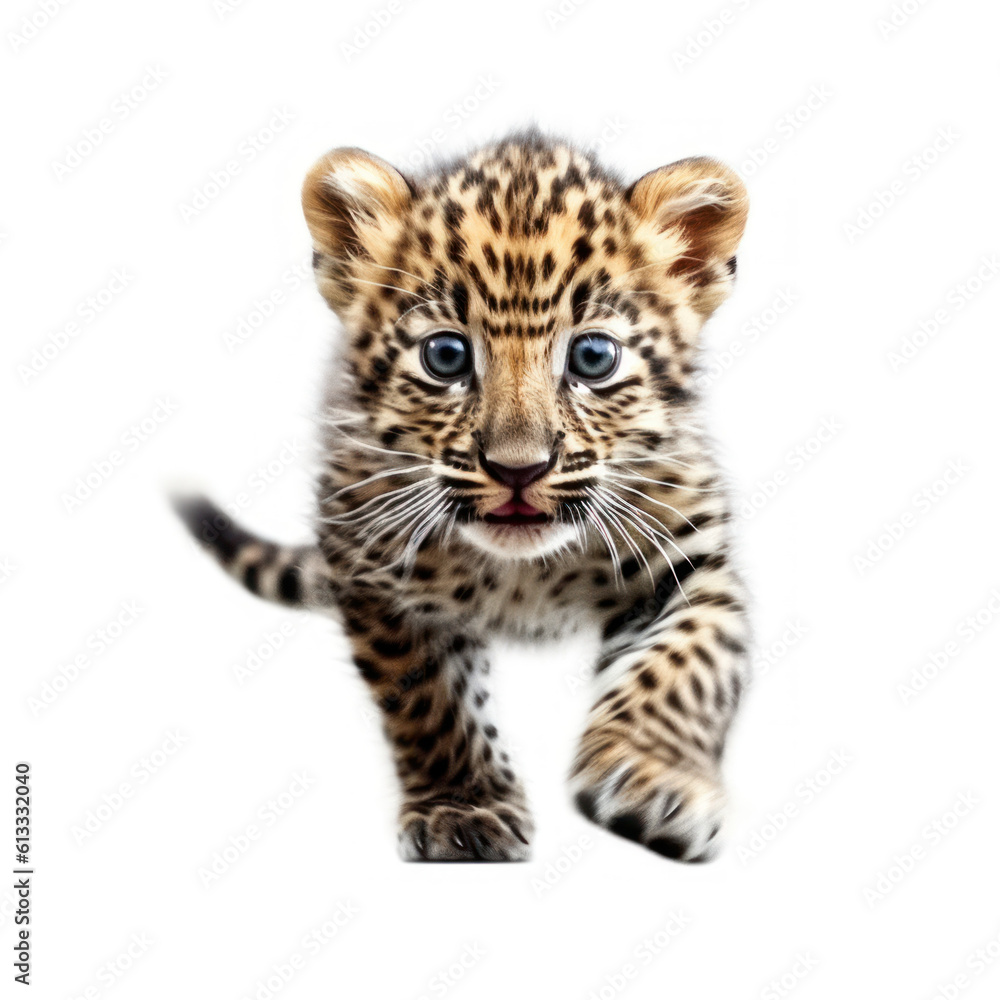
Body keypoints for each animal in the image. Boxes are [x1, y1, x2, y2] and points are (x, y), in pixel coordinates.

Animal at [174, 128, 752, 863]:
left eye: (593, 357)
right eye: (445, 356)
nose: (518, 470)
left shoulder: (693, 560)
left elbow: (683, 665)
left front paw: (654, 781)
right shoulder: (376, 575)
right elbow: (432, 703)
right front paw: (462, 809)